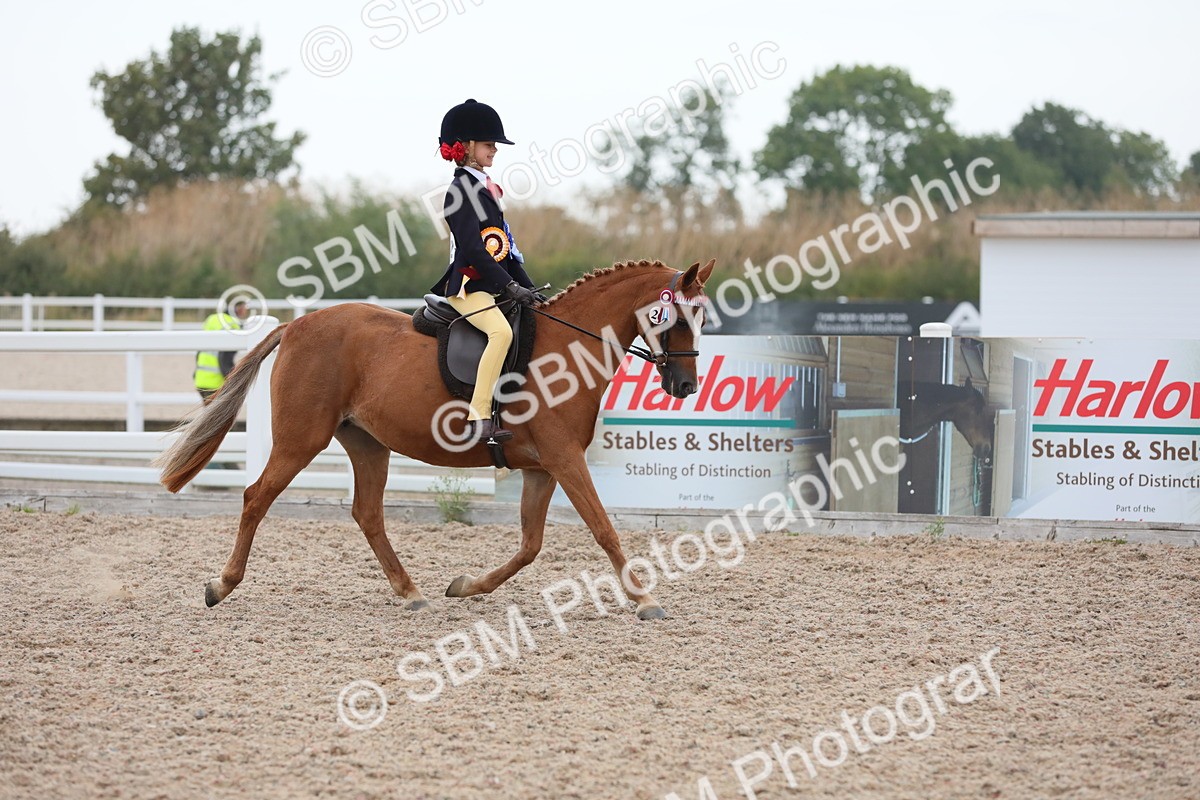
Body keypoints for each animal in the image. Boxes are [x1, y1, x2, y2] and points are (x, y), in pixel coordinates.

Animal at [155, 258, 715, 621]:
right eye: (677, 317)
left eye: (703, 317)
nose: (686, 387)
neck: (567, 347)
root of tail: (296, 325)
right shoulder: (564, 459)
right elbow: (603, 529)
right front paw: (645, 599)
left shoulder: (541, 467)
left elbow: (531, 546)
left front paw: (466, 586)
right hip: (301, 439)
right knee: (256, 497)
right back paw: (221, 585)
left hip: (367, 444)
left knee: (367, 513)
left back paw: (411, 592)